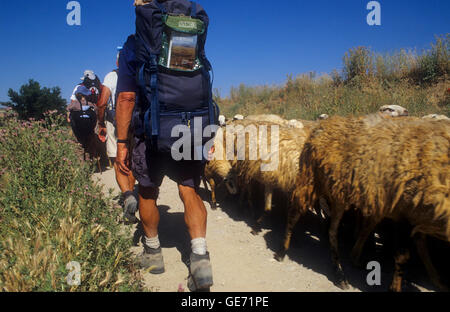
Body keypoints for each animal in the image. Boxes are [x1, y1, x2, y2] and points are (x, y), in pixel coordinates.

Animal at [276, 116, 448, 292]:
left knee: (334, 229)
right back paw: (284, 251)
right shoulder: (404, 212)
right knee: (295, 213)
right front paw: (395, 287)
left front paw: (438, 281)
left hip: (339, 194)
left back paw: (343, 269)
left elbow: (421, 248)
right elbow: (404, 255)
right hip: (311, 179)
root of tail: (322, 125)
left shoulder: (416, 216)